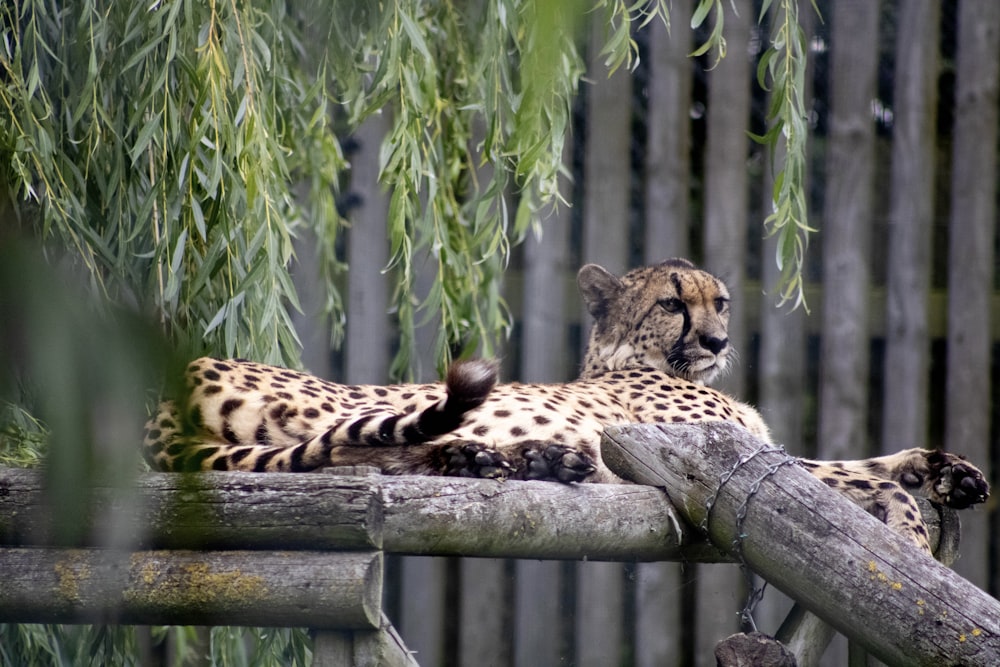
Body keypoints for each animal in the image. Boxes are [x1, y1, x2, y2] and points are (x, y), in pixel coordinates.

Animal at [145, 258, 988, 552]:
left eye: (718, 299)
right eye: (674, 303)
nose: (718, 339)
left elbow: (867, 466)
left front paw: (949, 473)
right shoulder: (727, 459)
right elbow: (856, 479)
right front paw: (912, 524)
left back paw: (523, 458)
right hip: (326, 405)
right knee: (356, 452)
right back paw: (515, 456)